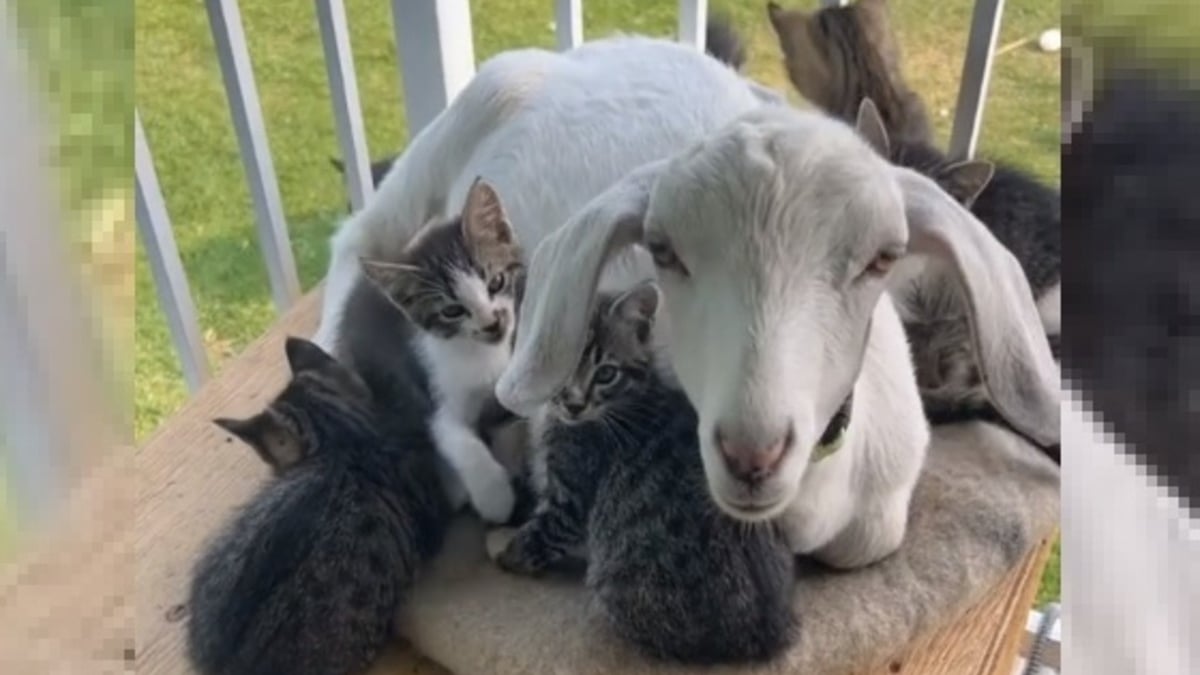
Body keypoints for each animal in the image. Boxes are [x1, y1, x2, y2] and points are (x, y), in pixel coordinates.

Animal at [357, 177, 523, 521]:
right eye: (452, 311)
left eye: (496, 282)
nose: (492, 324)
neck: (479, 354)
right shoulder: (432, 392)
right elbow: (456, 440)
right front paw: (496, 499)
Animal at [487, 279, 796, 662]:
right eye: (555, 367)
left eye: (606, 373)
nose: (574, 404)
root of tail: (769, 633)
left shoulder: (569, 498)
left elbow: (538, 535)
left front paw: (504, 547)